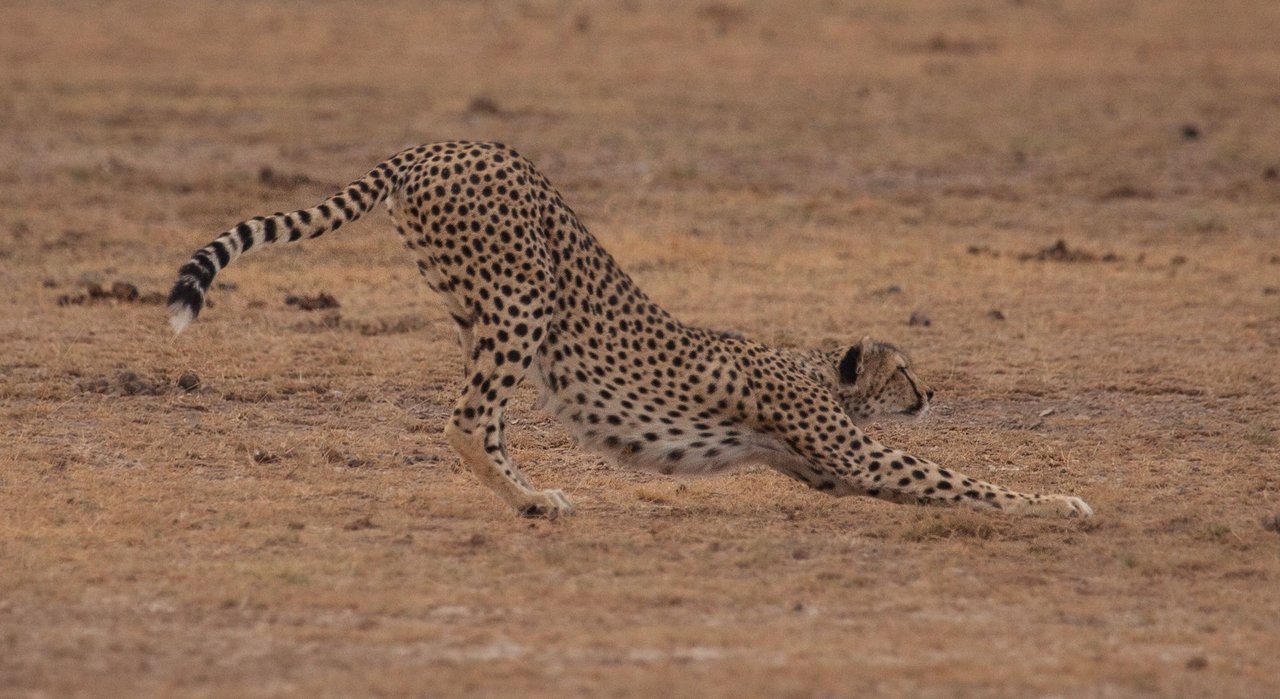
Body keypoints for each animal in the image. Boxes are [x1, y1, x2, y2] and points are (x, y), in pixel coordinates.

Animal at [167, 142, 1090, 517]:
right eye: (903, 371)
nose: (928, 394)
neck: (814, 368)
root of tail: (444, 144)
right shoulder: (854, 452)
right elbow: (960, 478)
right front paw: (1060, 500)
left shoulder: (827, 469)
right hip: (523, 297)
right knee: (467, 419)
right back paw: (531, 499)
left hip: (477, 304)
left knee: (482, 415)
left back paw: (530, 496)